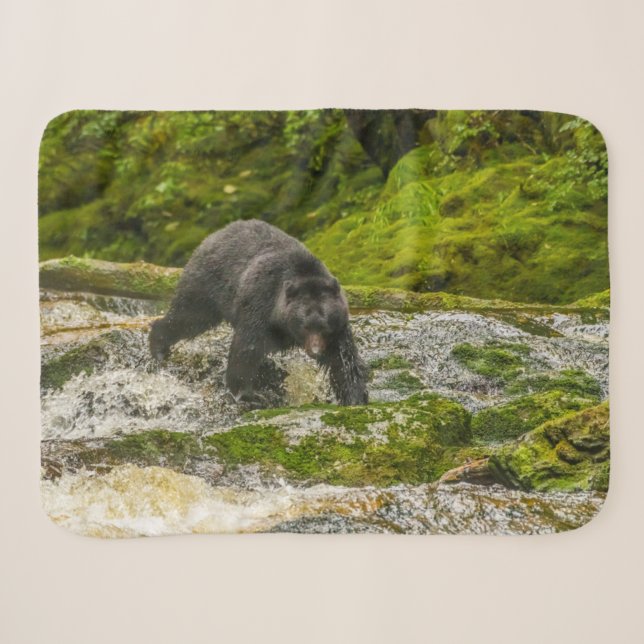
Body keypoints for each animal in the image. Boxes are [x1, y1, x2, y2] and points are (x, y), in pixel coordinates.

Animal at [149, 219, 369, 406]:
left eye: (324, 325)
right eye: (305, 325)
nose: (315, 351)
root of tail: (214, 235)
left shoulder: (338, 328)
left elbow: (344, 361)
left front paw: (355, 398)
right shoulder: (261, 302)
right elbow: (247, 347)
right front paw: (247, 394)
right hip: (208, 285)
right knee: (188, 316)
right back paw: (159, 347)